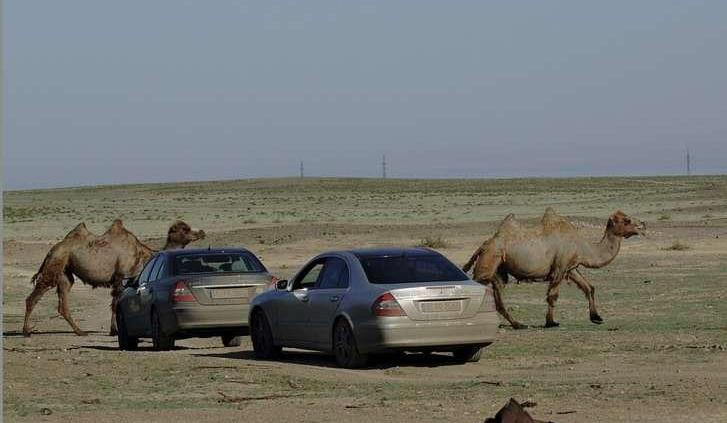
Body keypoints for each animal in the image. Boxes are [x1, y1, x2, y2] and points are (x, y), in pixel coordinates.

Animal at [22, 222, 205, 338]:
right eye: (185, 229)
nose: (202, 232)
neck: (142, 255)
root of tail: (52, 250)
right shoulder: (121, 277)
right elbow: (116, 303)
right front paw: (114, 331)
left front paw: (115, 329)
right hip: (56, 263)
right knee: (34, 296)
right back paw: (26, 331)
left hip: (65, 272)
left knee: (62, 302)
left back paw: (80, 331)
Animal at [464, 208, 644, 328]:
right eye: (627, 220)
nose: (642, 225)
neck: (583, 247)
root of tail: (484, 245)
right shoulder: (560, 267)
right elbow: (553, 295)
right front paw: (551, 322)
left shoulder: (571, 267)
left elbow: (588, 288)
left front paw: (596, 317)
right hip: (489, 260)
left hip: (499, 269)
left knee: (498, 292)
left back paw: (518, 324)